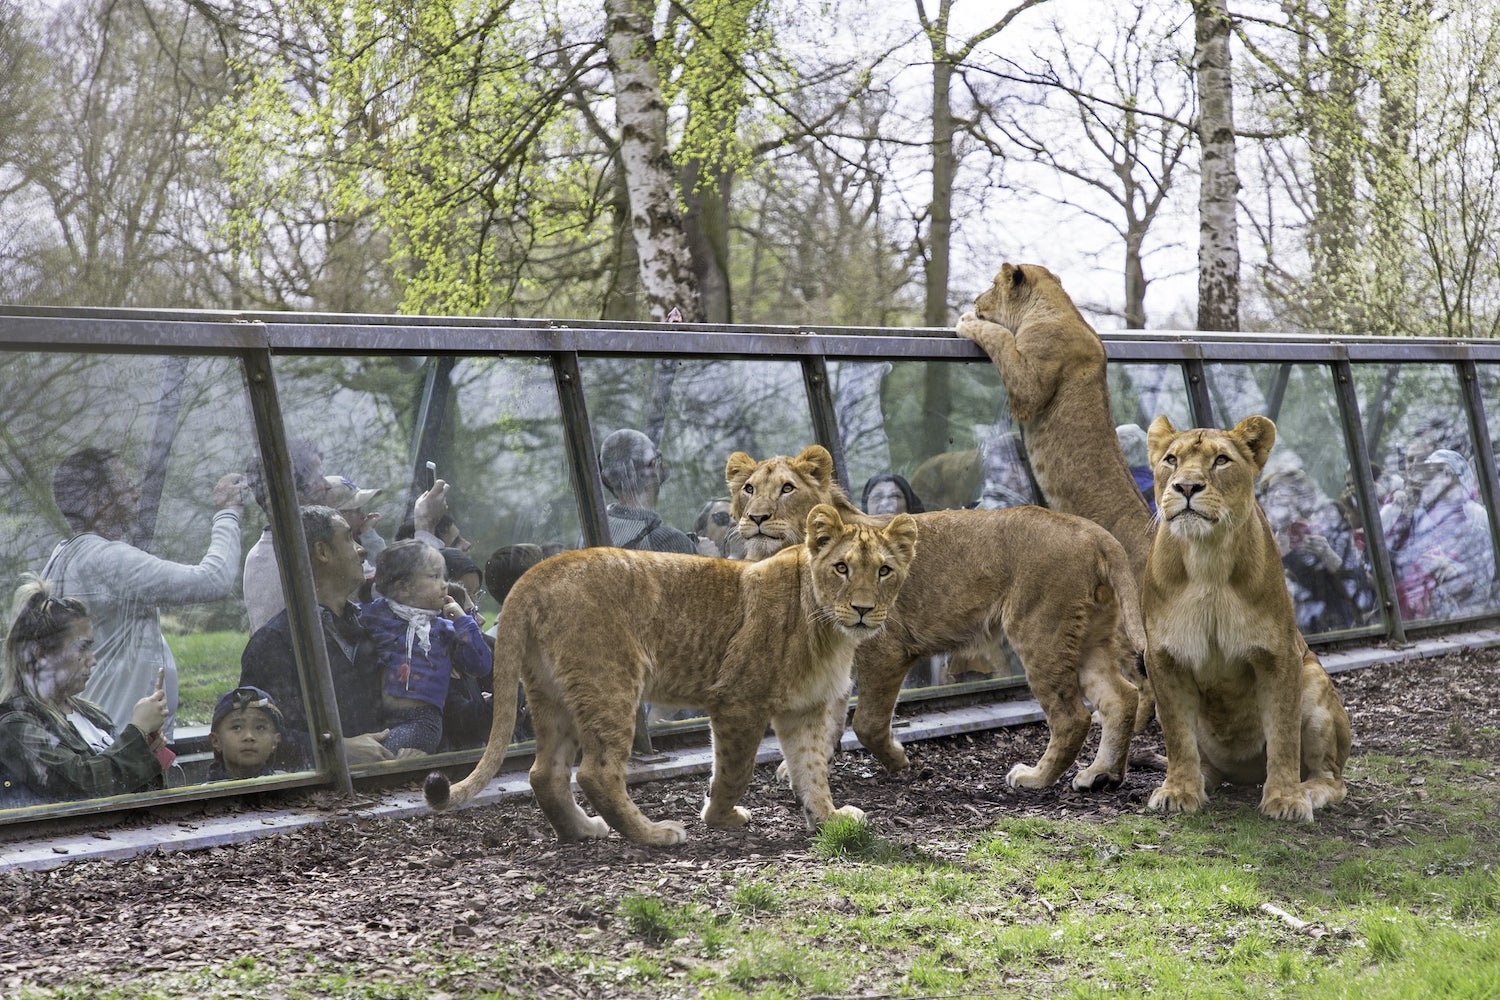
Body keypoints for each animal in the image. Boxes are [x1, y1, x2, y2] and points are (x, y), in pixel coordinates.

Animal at [423, 503, 912, 851]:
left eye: (884, 570)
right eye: (842, 568)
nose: (864, 609)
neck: (829, 629)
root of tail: (536, 573)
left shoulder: (804, 710)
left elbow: (812, 770)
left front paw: (828, 819)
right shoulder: (738, 700)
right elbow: (736, 770)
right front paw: (720, 818)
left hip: (550, 695)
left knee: (546, 773)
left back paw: (583, 831)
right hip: (612, 683)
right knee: (596, 773)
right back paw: (654, 835)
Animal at [732, 446, 1140, 791]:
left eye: (787, 488)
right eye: (749, 489)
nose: (756, 518)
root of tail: (1092, 531)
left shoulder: (886, 651)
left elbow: (866, 722)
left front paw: (899, 761)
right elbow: (829, 721)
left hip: (1041, 632)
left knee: (1072, 716)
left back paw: (1036, 778)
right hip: (1088, 635)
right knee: (1122, 696)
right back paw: (1101, 775)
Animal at [1140, 413, 1356, 821]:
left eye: (1221, 460)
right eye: (1172, 460)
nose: (1186, 486)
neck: (1207, 559)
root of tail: (1243, 776)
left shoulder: (1280, 654)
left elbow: (1283, 733)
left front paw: (1285, 799)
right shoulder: (1163, 657)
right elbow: (1177, 735)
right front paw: (1179, 791)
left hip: (1314, 683)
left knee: (1333, 779)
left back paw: (1307, 791)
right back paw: (1202, 779)